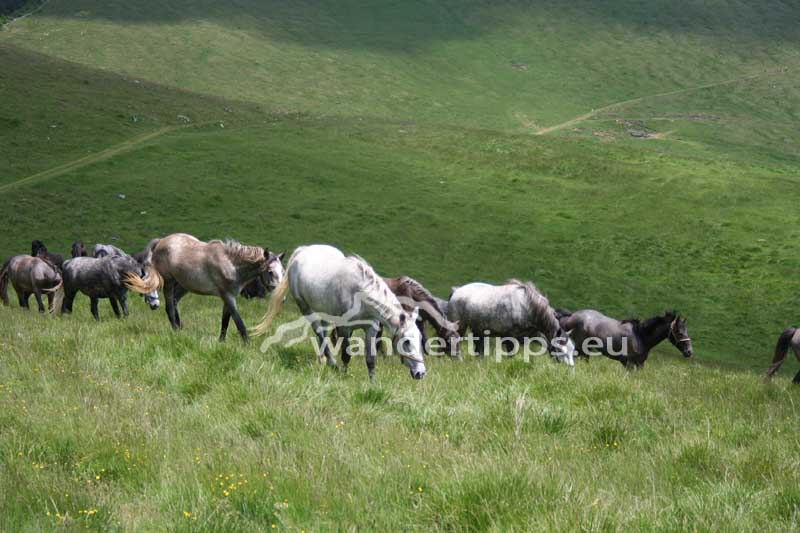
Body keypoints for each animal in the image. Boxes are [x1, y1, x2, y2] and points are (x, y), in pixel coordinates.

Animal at [126, 232, 286, 340]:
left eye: (283, 271)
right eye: (270, 272)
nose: (282, 299)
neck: (232, 264)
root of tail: (161, 241)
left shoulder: (228, 297)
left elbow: (225, 321)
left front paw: (221, 342)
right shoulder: (228, 297)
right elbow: (239, 322)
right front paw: (246, 344)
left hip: (183, 285)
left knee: (175, 302)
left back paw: (181, 328)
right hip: (169, 283)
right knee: (170, 307)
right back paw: (176, 331)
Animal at [255, 243, 432, 380]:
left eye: (420, 339)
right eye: (407, 341)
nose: (421, 373)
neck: (360, 293)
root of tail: (302, 250)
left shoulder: (371, 328)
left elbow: (370, 359)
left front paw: (372, 383)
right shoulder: (346, 328)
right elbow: (346, 354)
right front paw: (344, 375)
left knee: (324, 332)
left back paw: (323, 360)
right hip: (305, 307)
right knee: (319, 332)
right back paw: (332, 363)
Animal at [444, 280, 576, 364]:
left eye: (572, 350)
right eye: (561, 350)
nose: (569, 369)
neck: (527, 305)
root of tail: (456, 290)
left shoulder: (532, 334)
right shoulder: (510, 336)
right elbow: (511, 354)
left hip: (479, 330)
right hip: (459, 326)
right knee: (454, 341)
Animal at [556, 308, 692, 366]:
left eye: (686, 330)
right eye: (679, 332)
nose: (689, 351)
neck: (641, 336)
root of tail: (571, 316)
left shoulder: (639, 365)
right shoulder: (630, 364)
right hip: (581, 350)